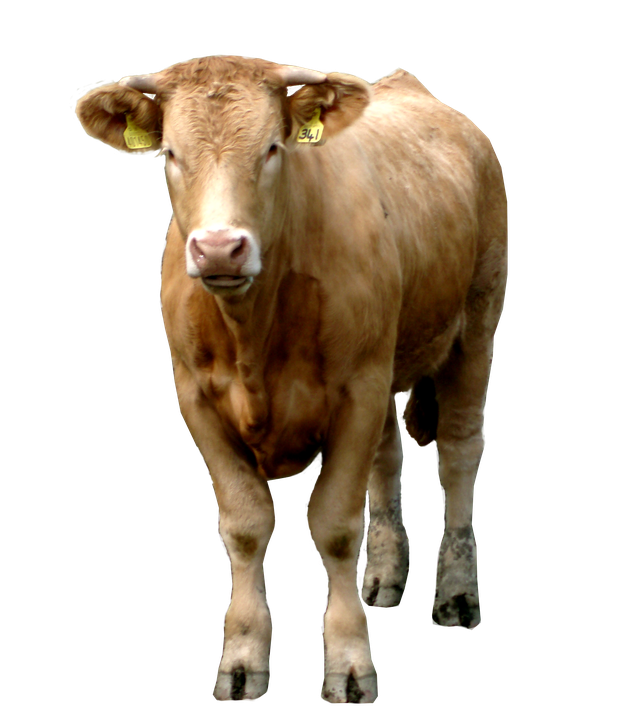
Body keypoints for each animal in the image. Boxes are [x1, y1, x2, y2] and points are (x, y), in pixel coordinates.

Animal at [74, 55, 507, 704]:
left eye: (273, 148)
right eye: (171, 153)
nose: (219, 249)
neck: (254, 331)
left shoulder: (356, 390)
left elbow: (335, 526)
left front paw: (350, 662)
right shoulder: (197, 398)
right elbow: (246, 527)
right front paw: (242, 657)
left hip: (475, 323)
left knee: (458, 454)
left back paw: (456, 592)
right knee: (387, 459)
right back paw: (386, 574)